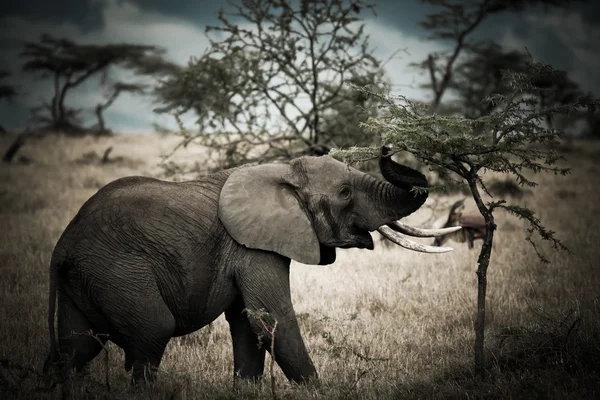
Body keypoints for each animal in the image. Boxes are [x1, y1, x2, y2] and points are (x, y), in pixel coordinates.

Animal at [44, 146, 458, 384]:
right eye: (344, 193)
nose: (389, 147)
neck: (281, 172)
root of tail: (61, 247)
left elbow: (247, 323)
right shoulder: (253, 246)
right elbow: (273, 319)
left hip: (88, 277)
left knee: (75, 347)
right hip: (118, 271)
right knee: (151, 332)